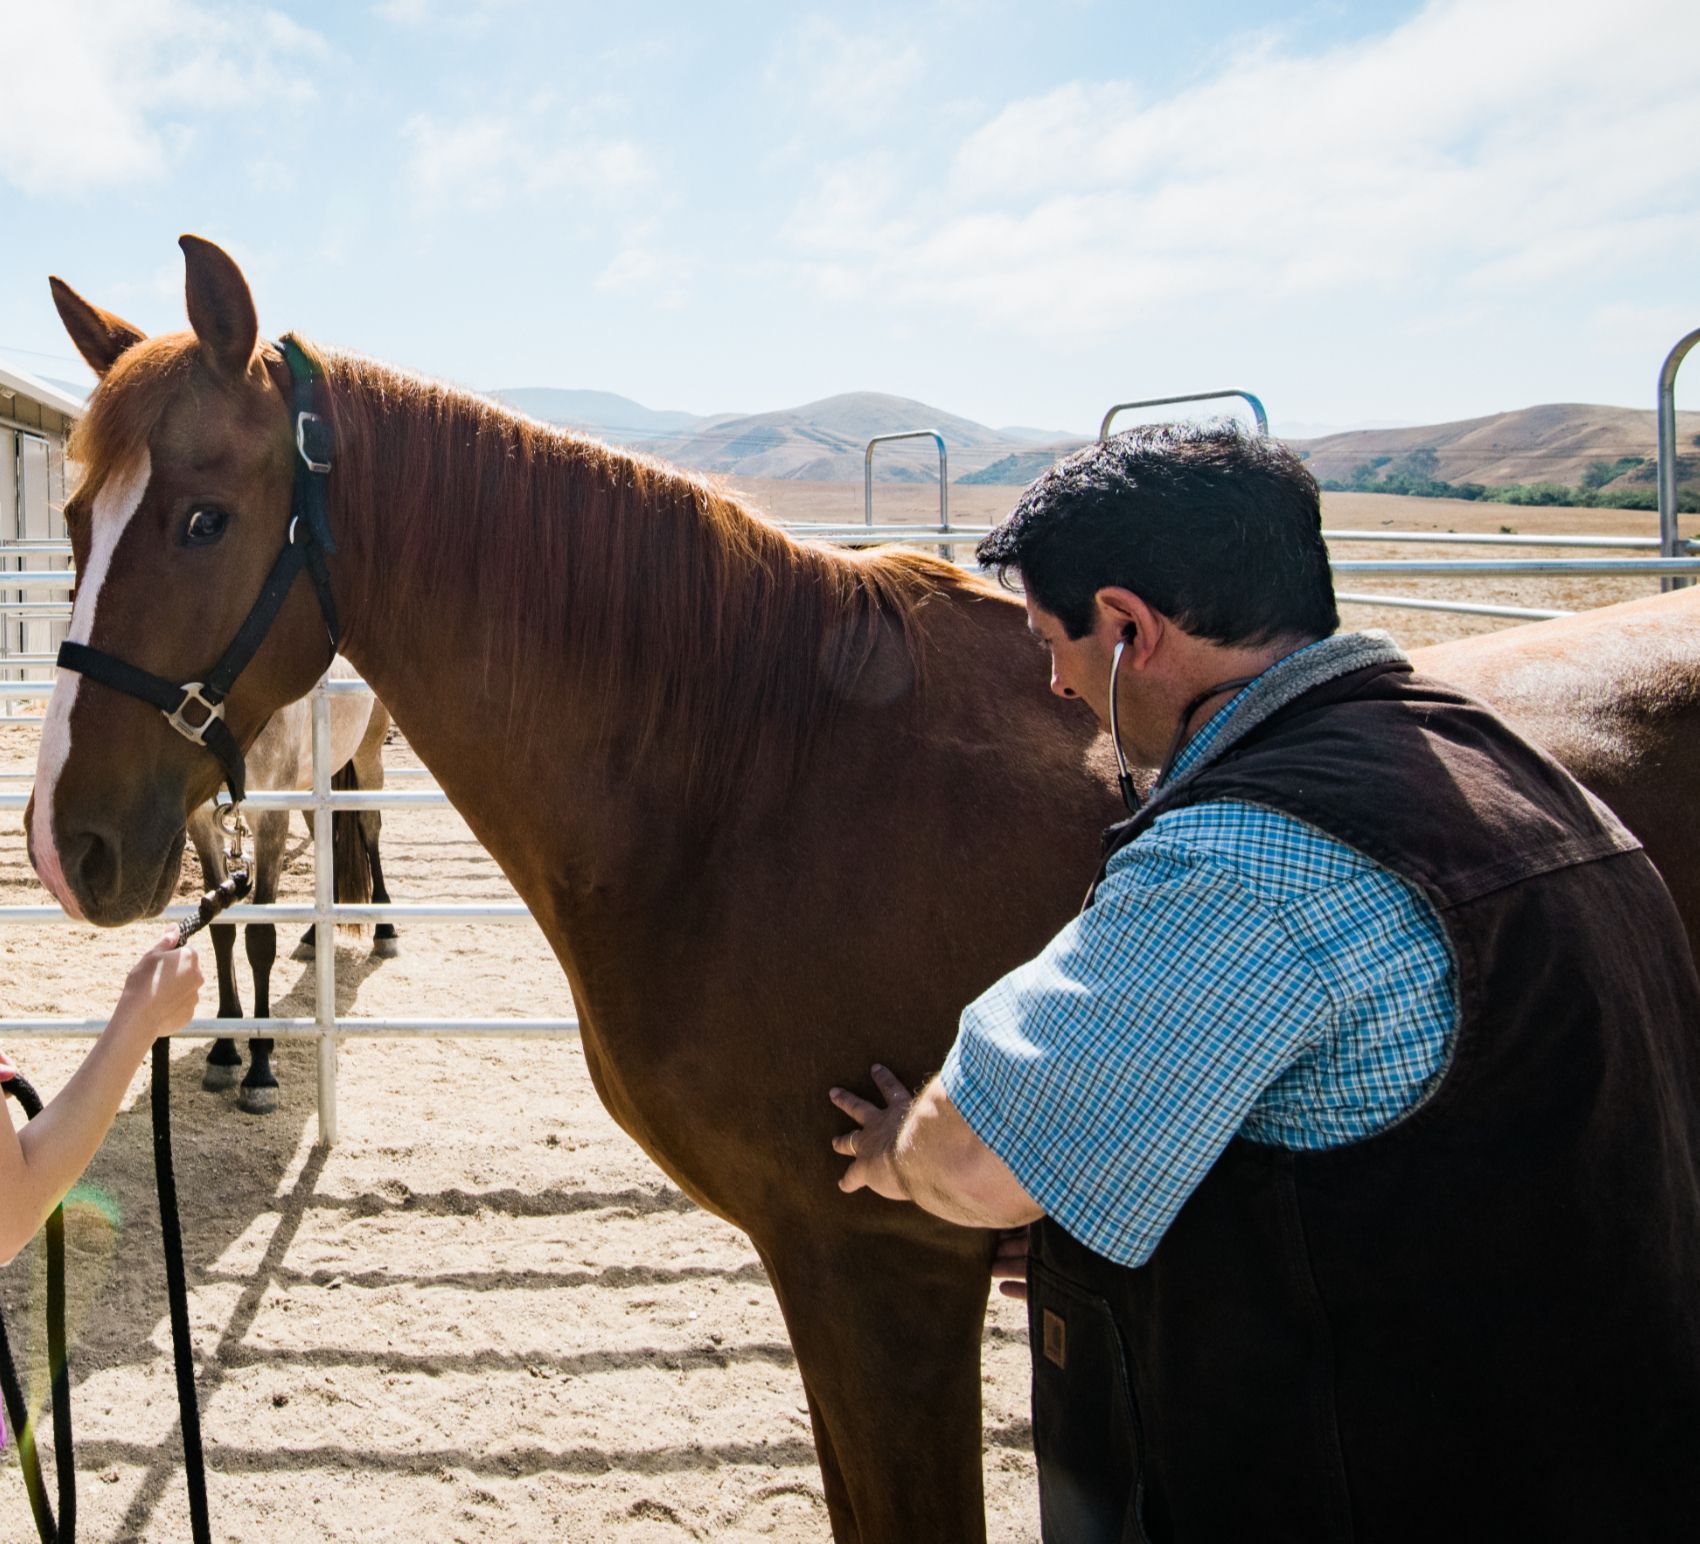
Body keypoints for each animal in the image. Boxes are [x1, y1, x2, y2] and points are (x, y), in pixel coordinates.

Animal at [187, 656, 398, 1113]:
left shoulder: (271, 817)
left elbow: (260, 940)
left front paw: (260, 1071)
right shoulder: (200, 819)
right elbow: (221, 931)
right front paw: (224, 1051)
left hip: (367, 754)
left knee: (370, 826)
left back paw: (385, 929)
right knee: (327, 842)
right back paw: (313, 935)